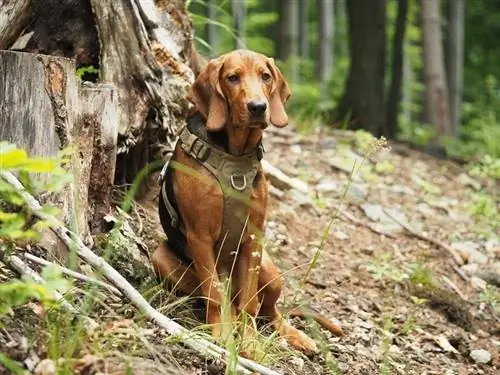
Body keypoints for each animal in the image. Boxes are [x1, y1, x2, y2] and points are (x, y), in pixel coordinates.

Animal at [150, 50, 342, 358]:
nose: (258, 107)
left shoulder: (253, 237)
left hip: (270, 271)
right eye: (232, 78)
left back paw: (296, 335)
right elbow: (214, 295)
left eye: (265, 76)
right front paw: (222, 335)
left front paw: (250, 343)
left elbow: (249, 302)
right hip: (162, 258)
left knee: (268, 311)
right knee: (223, 297)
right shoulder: (200, 236)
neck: (234, 154)